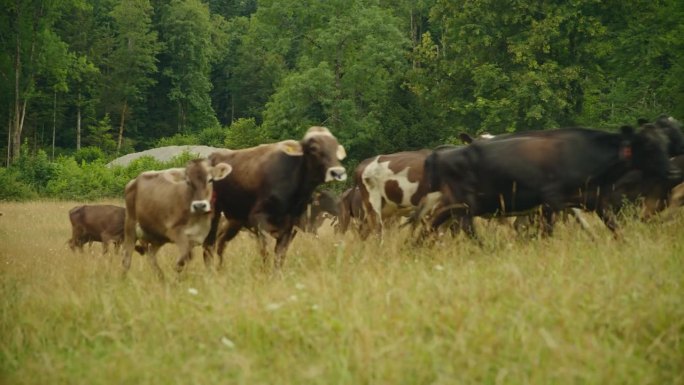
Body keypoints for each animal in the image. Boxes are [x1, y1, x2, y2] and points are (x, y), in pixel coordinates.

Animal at [202, 126, 342, 268]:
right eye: (313, 147)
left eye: (336, 146)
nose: (337, 171)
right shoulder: (260, 221)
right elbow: (266, 252)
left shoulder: (290, 228)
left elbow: (280, 256)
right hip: (213, 214)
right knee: (209, 245)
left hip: (235, 219)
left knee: (221, 242)